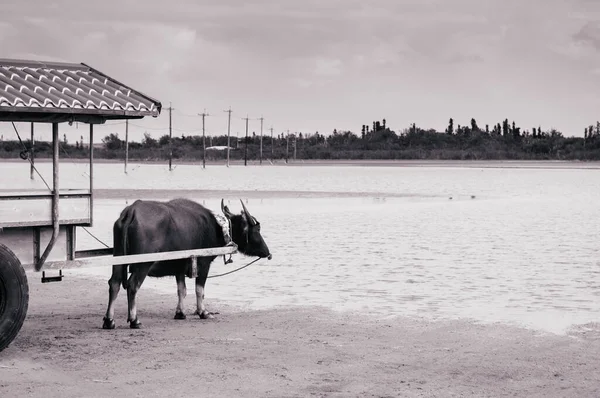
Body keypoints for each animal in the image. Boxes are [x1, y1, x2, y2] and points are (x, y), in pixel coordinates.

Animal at [103, 197, 272, 330]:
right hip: (142, 263)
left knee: (114, 283)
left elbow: (181, 290)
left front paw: (180, 313)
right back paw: (134, 320)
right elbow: (199, 290)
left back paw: (109, 321)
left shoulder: (179, 267)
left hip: (118, 258)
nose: (268, 253)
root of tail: (131, 212)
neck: (217, 228)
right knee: (132, 285)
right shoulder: (203, 264)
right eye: (257, 229)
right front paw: (204, 312)